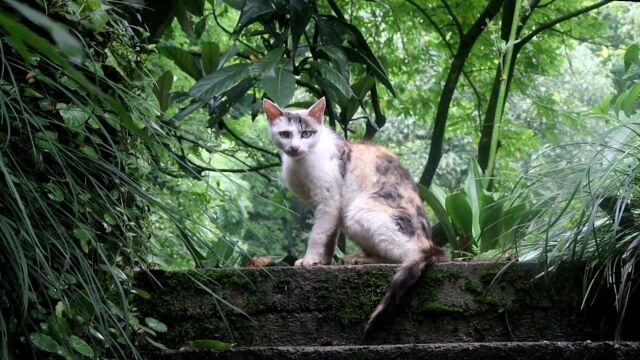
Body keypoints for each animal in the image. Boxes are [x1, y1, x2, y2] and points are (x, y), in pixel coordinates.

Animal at [262, 97, 442, 336]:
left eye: (307, 133)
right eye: (285, 134)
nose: (295, 147)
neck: (302, 162)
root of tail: (429, 244)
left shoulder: (329, 202)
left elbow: (317, 235)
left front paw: (309, 260)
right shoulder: (332, 210)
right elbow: (329, 237)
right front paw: (323, 262)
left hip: (357, 213)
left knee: (403, 256)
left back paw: (363, 259)